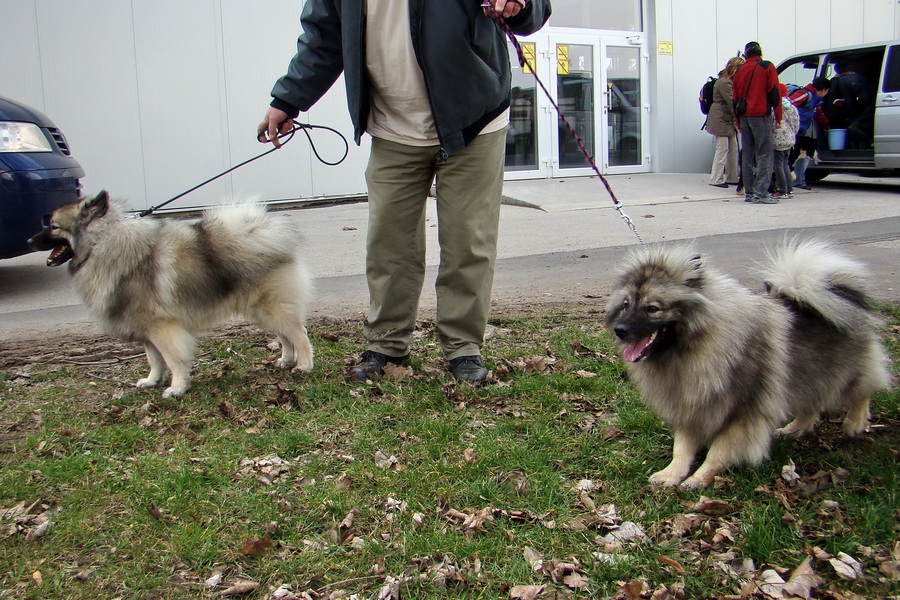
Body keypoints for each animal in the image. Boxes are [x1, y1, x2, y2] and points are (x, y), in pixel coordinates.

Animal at [604, 239, 892, 488]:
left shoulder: (742, 414)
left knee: (862, 391)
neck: (692, 348)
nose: (620, 330)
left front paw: (699, 479)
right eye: (626, 304)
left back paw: (855, 422)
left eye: (652, 308)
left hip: (843, 372)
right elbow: (682, 447)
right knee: (811, 404)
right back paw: (794, 429)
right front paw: (672, 474)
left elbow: (717, 451)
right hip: (809, 375)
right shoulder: (692, 404)